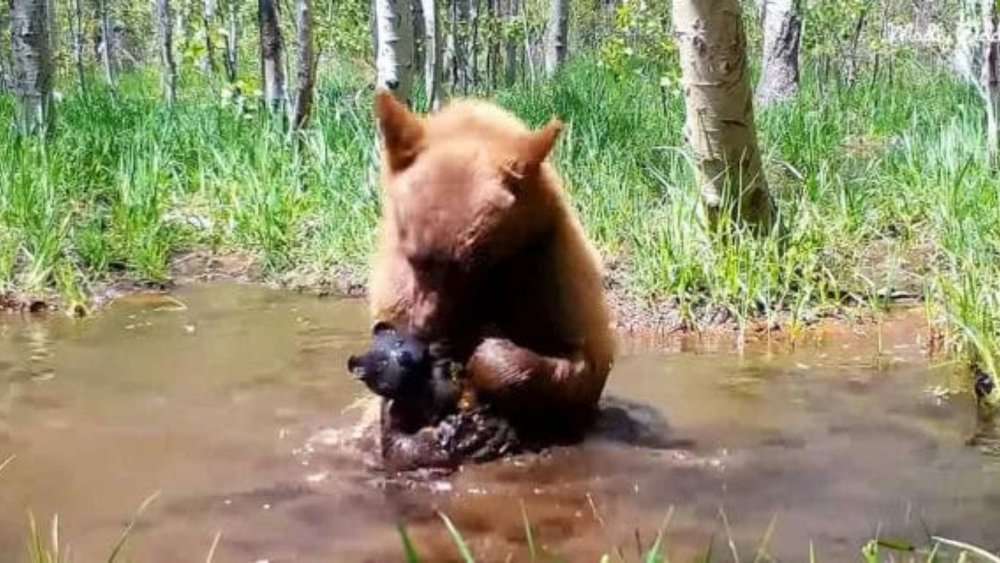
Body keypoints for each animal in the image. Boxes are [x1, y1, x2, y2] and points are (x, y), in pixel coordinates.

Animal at [365, 90, 616, 468]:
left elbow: (583, 366)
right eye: (414, 258)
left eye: (469, 267)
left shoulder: (553, 275)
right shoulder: (396, 295)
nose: (424, 331)